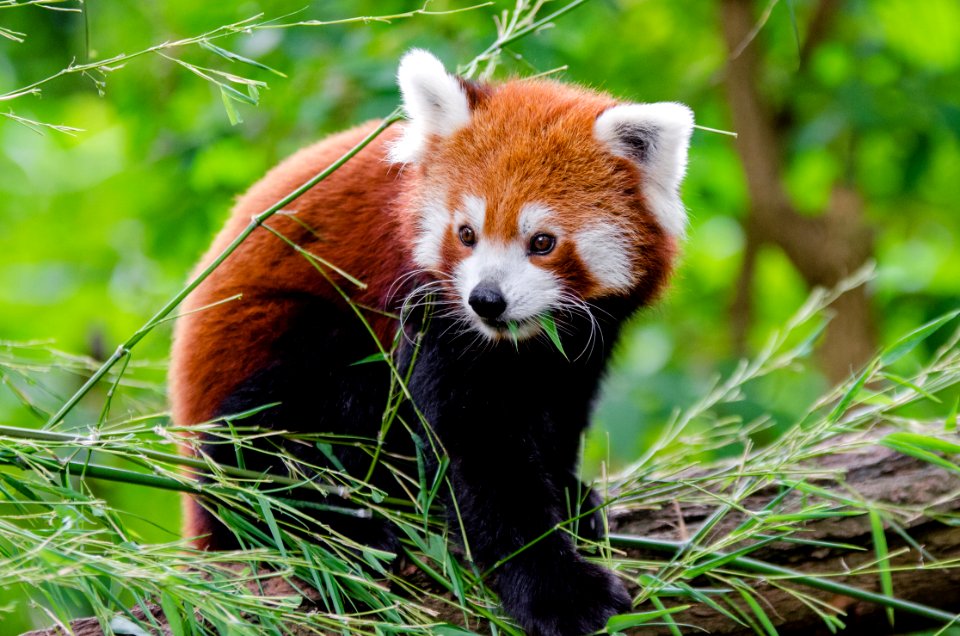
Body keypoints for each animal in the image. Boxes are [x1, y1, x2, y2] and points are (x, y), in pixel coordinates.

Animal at [172, 49, 692, 636]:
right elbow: (476, 448)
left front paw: (568, 493)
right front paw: (556, 588)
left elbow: (557, 412)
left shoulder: (581, 341)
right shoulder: (430, 311)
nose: (486, 300)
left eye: (542, 242)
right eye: (466, 234)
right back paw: (341, 526)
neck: (516, 342)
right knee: (263, 436)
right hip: (281, 340)